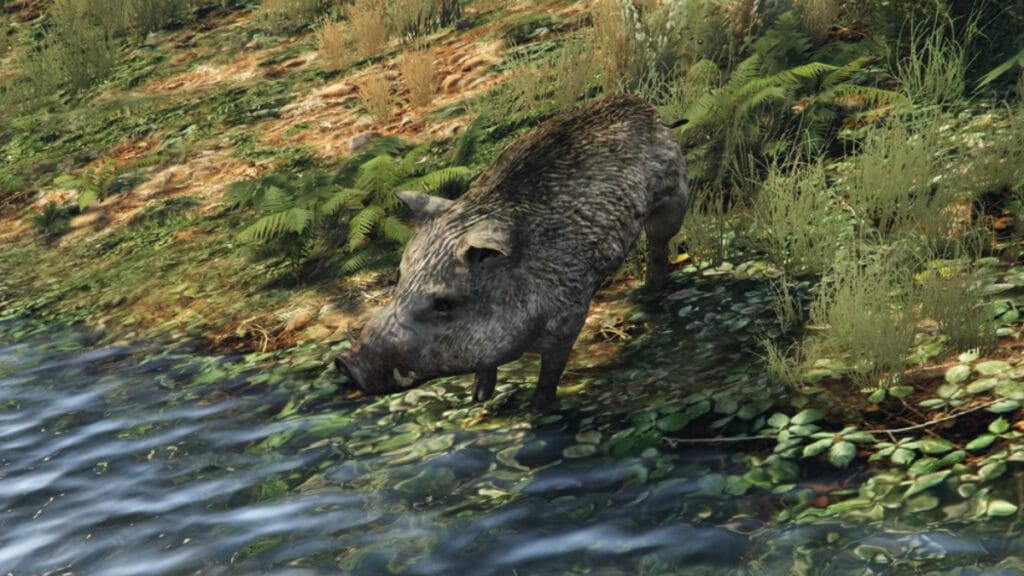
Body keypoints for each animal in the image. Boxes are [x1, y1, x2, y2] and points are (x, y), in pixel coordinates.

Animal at [335, 95, 688, 409]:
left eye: (443, 304)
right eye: (399, 278)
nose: (345, 363)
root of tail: (644, 105)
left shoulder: (568, 320)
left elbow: (550, 372)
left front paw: (537, 409)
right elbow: (485, 367)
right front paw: (477, 401)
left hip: (673, 198)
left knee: (659, 244)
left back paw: (649, 292)